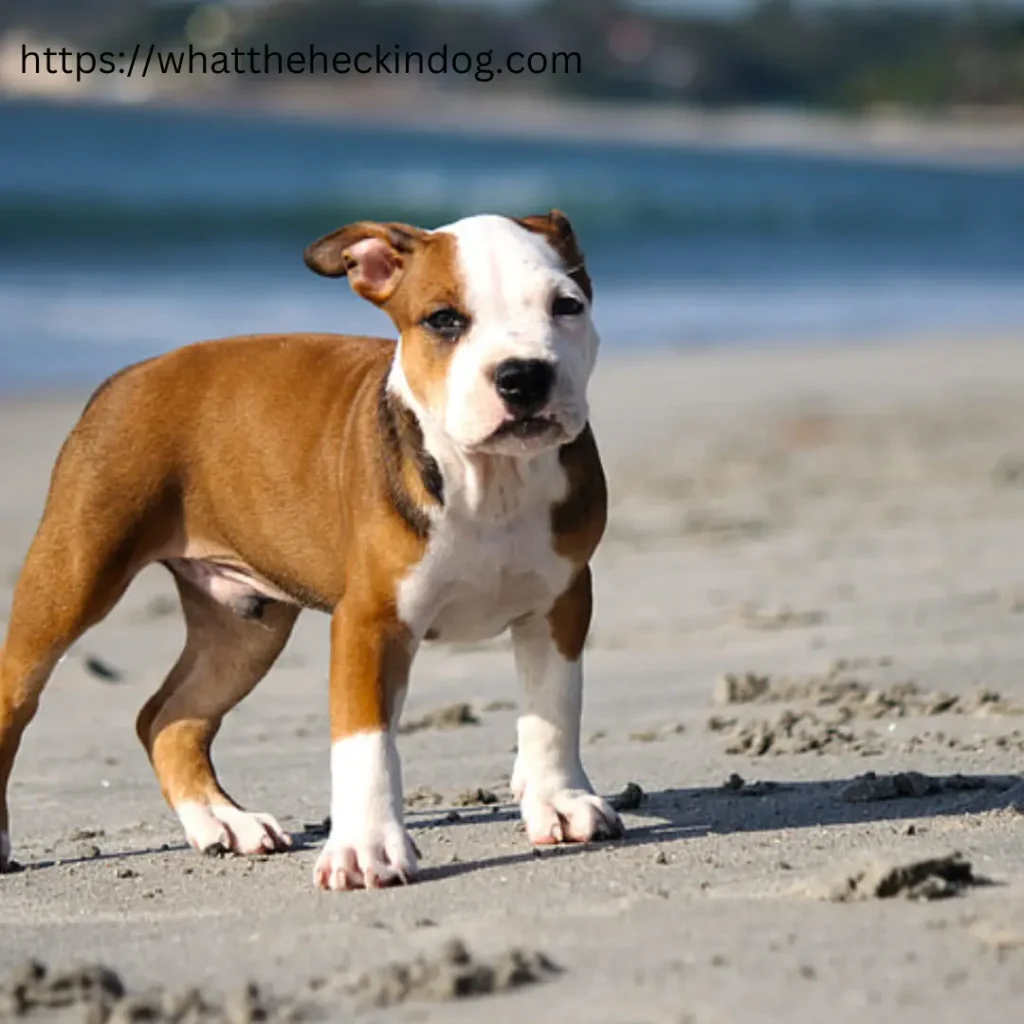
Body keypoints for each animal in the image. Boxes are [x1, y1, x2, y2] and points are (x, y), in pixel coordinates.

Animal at [0, 209, 618, 888]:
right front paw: (368, 846)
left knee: (167, 718)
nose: (523, 374)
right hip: (72, 575)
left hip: (244, 631)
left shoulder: (561, 602)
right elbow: (365, 743)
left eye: (567, 306)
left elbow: (554, 707)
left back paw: (224, 822)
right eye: (443, 320)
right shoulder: (370, 622)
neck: (491, 481)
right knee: (18, 697)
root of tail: (129, 375)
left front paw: (559, 798)